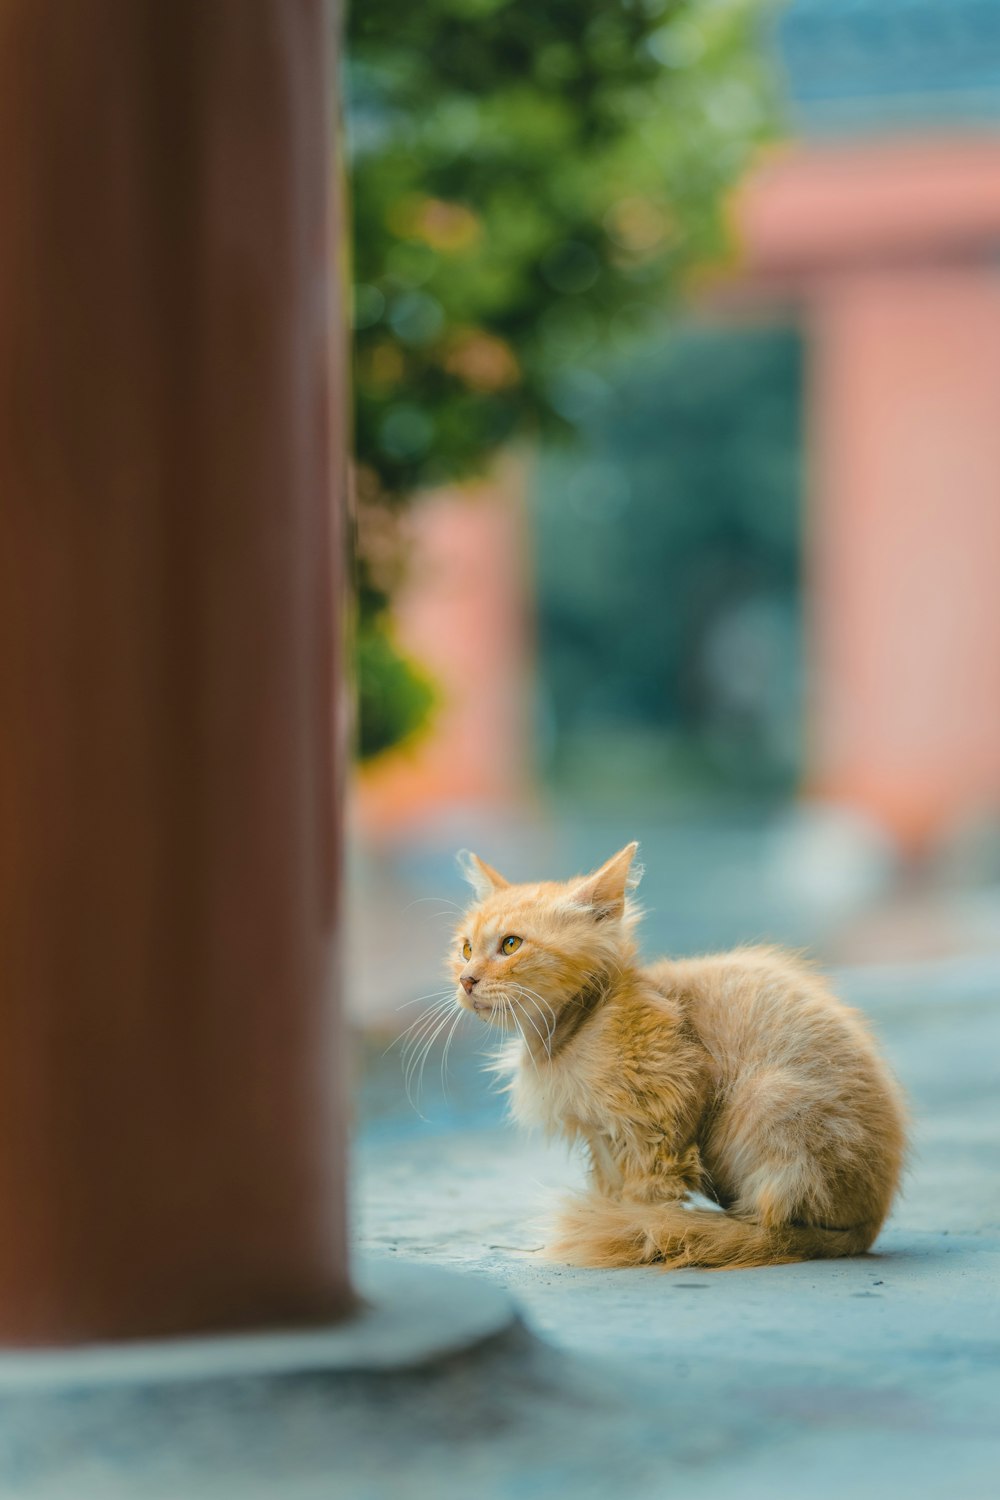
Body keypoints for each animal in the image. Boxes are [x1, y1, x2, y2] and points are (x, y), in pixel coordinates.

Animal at [452, 846, 905, 1266]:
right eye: (466, 949)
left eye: (511, 945)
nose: (466, 980)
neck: (565, 1033)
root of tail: (869, 1227)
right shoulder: (601, 1137)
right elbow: (612, 1190)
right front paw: (613, 1219)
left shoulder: (666, 1108)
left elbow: (647, 1199)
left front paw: (631, 1228)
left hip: (767, 1098)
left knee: (776, 1228)